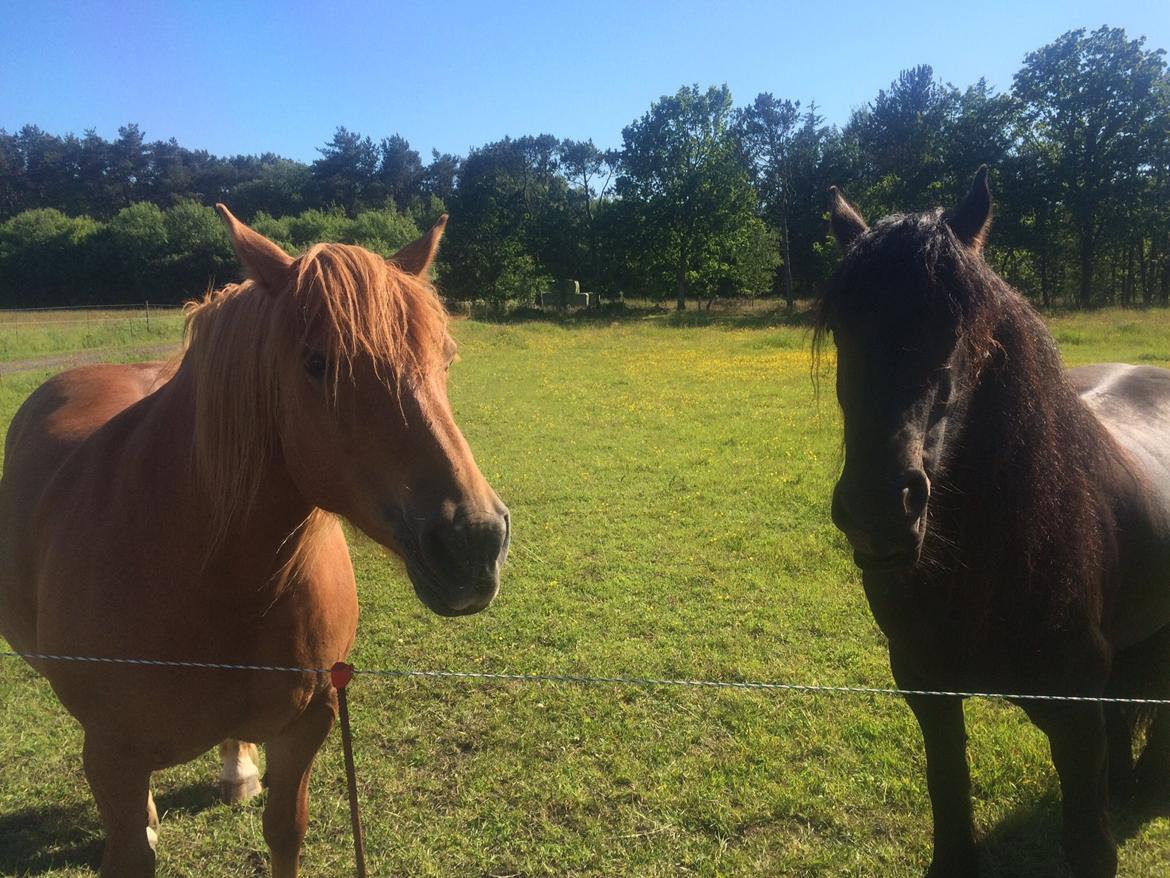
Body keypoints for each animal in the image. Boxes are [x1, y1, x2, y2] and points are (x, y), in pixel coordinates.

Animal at [0, 209, 507, 875]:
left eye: (445, 359)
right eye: (316, 362)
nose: (475, 541)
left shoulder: (308, 723)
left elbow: (285, 830)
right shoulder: (111, 754)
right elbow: (131, 848)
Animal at [819, 166, 1170, 878]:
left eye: (956, 329)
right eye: (840, 325)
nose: (878, 512)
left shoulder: (1075, 717)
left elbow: (1090, 845)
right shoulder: (927, 690)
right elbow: (951, 808)